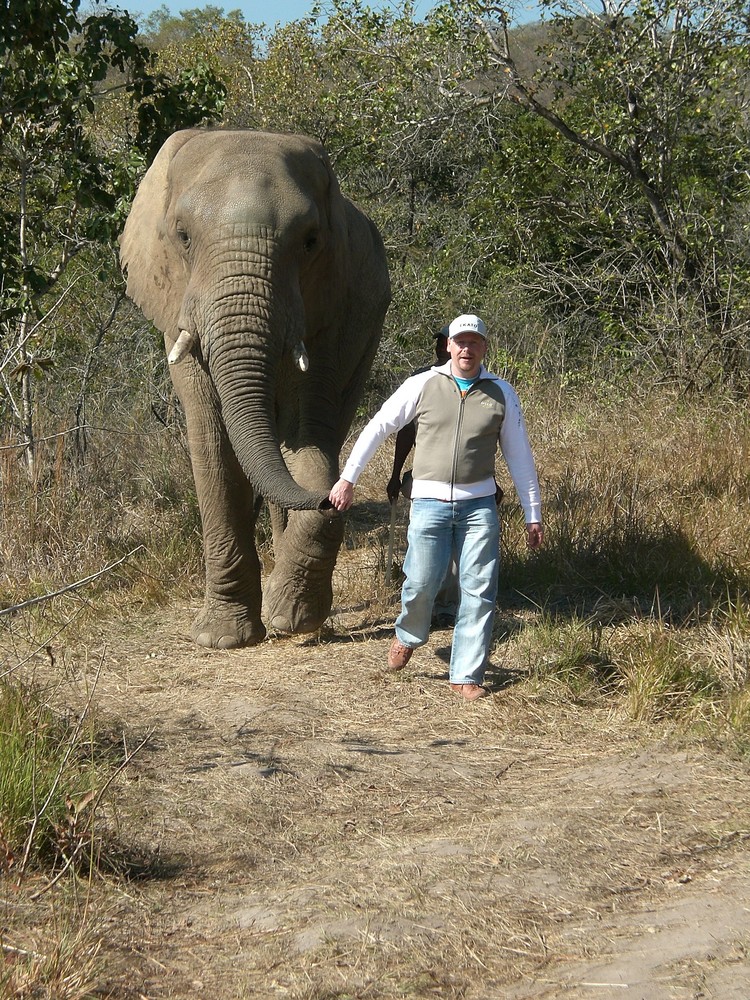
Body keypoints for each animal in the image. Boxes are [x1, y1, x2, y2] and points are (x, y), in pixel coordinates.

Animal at [119, 129, 390, 648]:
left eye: (310, 242)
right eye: (183, 237)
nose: (337, 499)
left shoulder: (331, 310)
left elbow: (309, 439)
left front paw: (293, 619)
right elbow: (212, 443)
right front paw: (224, 639)